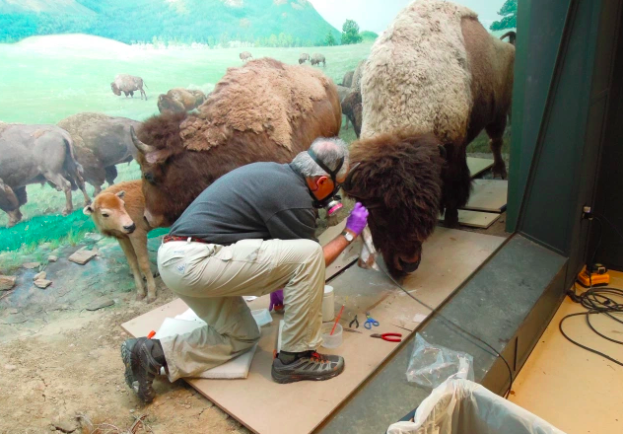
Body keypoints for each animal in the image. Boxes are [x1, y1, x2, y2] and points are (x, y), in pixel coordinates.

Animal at [344, 0, 516, 278]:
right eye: (377, 211)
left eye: (422, 205)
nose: (408, 263)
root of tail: (506, 47)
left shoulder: (455, 147)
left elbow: (455, 182)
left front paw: (451, 216)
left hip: (498, 112)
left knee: (496, 142)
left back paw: (500, 172)